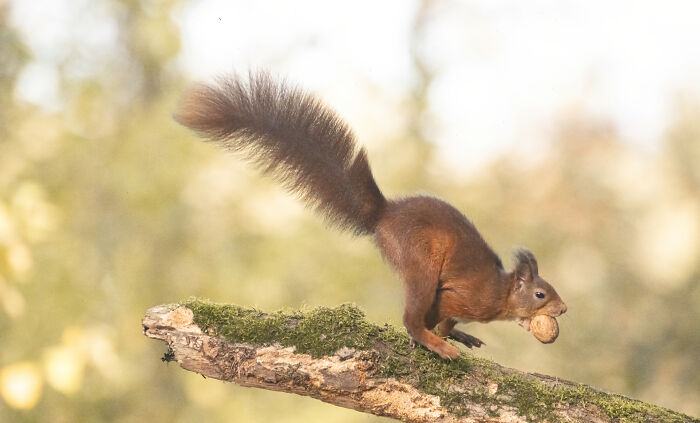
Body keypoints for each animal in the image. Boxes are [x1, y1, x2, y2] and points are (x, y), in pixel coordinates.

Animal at [175, 71, 567, 359]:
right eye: (540, 295)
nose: (563, 310)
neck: (501, 293)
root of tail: (384, 215)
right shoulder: (462, 297)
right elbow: (436, 314)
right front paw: (441, 335)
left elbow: (446, 321)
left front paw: (458, 333)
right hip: (419, 259)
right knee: (411, 316)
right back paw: (435, 343)